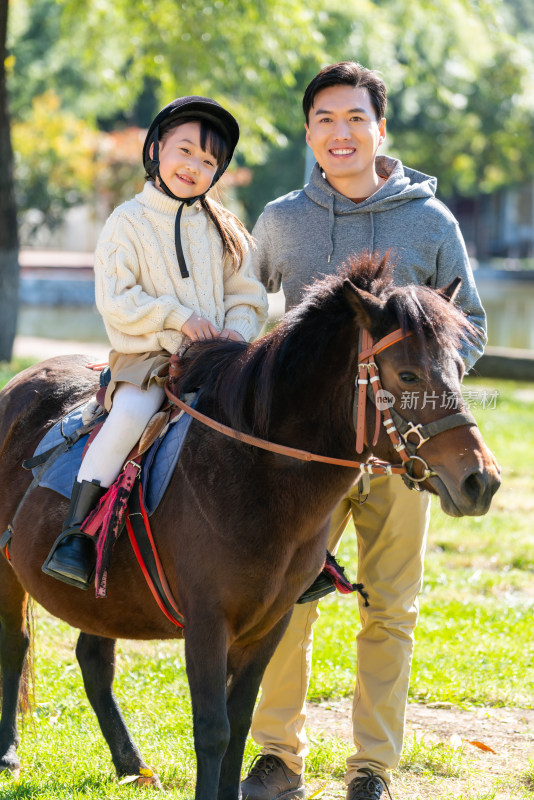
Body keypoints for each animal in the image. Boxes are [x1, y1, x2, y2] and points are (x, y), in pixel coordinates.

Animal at [0, 255, 502, 800]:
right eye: (407, 374)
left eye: (459, 369)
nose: (480, 480)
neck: (253, 471)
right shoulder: (207, 623)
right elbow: (212, 728)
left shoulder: (269, 623)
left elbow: (239, 721)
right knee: (16, 643)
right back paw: (9, 754)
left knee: (93, 659)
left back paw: (130, 762)